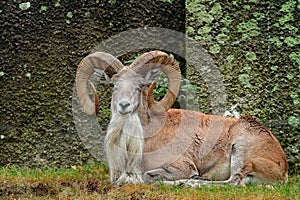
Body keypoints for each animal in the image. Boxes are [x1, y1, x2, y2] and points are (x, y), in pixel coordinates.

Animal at [75, 50, 286, 186]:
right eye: (113, 85)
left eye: (141, 85)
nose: (124, 105)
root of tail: (282, 165)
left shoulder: (181, 166)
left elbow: (146, 177)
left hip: (240, 151)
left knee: (233, 182)